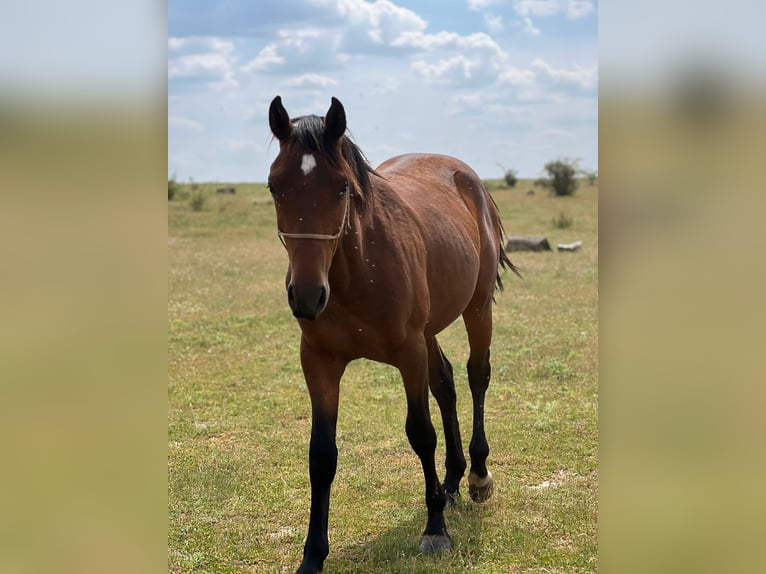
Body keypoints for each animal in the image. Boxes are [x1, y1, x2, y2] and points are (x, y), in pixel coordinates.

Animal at [267, 96, 519, 574]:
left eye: (342, 187)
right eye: (274, 186)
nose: (306, 295)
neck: (357, 270)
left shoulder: (408, 353)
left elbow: (420, 433)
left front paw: (435, 528)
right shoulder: (319, 362)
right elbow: (321, 455)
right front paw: (312, 555)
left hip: (476, 310)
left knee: (477, 376)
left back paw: (477, 476)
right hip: (432, 330)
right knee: (446, 383)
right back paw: (451, 482)